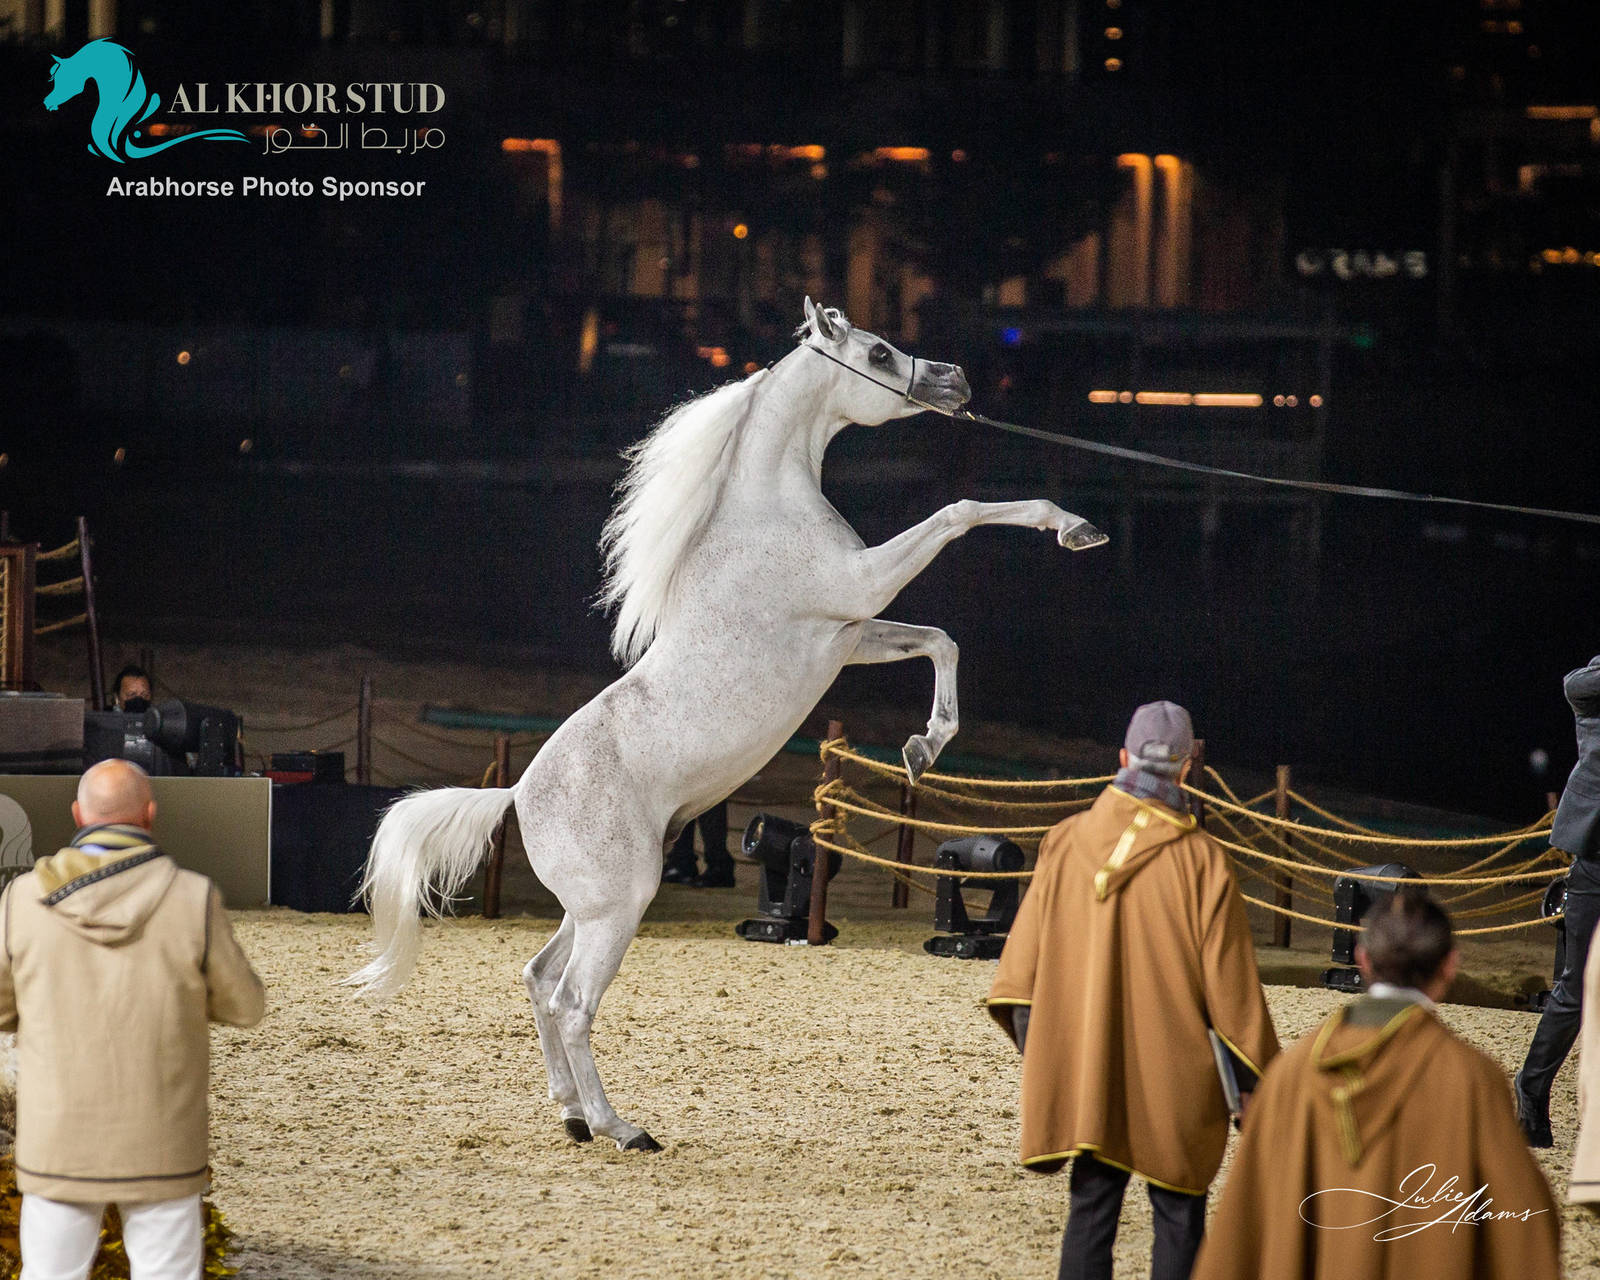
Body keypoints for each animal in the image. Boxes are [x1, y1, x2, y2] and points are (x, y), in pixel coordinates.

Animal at [348, 299, 1107, 1151]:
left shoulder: (850, 634)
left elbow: (940, 640)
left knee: (539, 980)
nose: (956, 380)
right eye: (878, 352)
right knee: (573, 1002)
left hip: (591, 907)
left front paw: (924, 746)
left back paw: (573, 1115)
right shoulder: (860, 587)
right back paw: (622, 1127)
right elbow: (962, 512)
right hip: (619, 905)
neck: (767, 508)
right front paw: (1073, 526)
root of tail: (515, 793)